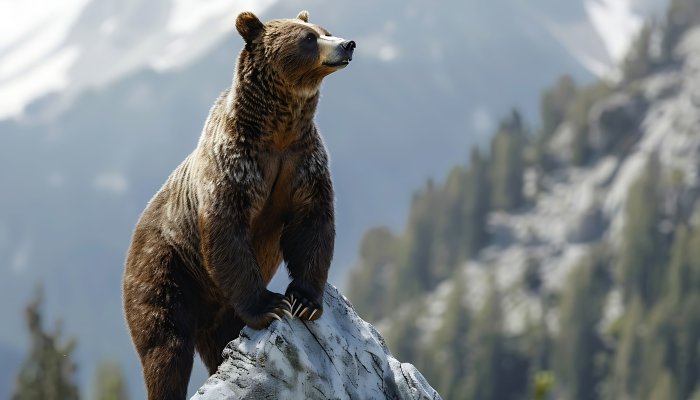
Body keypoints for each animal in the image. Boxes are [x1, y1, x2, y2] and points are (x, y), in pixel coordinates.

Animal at [121, 10, 355, 400]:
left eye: (326, 30)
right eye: (308, 38)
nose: (347, 44)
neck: (277, 131)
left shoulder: (303, 162)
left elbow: (312, 223)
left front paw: (304, 301)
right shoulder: (235, 166)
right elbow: (226, 230)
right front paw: (272, 305)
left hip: (213, 306)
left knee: (219, 339)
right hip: (165, 268)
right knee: (166, 345)